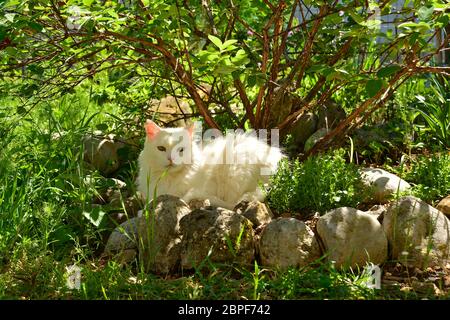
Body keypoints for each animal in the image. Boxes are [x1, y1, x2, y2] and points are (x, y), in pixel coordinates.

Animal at [137, 119, 284, 209]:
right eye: (161, 148)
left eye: (181, 150)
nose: (171, 159)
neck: (168, 178)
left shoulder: (207, 187)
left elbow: (185, 196)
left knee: (232, 204)